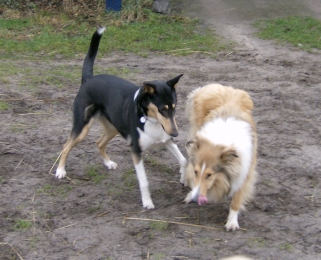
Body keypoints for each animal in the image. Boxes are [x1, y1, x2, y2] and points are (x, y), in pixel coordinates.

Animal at [54, 26, 185, 209]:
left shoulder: (166, 141)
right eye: (162, 109)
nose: (175, 133)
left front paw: (184, 177)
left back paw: (108, 163)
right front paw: (147, 202)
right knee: (66, 146)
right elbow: (144, 181)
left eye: (174, 107)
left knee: (99, 143)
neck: (151, 121)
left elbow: (184, 161)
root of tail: (88, 79)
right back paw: (60, 171)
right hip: (82, 128)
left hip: (112, 128)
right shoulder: (136, 151)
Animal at [184, 84, 256, 232]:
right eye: (196, 172)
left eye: (210, 175)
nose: (195, 199)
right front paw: (190, 194)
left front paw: (232, 222)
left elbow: (237, 199)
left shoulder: (245, 170)